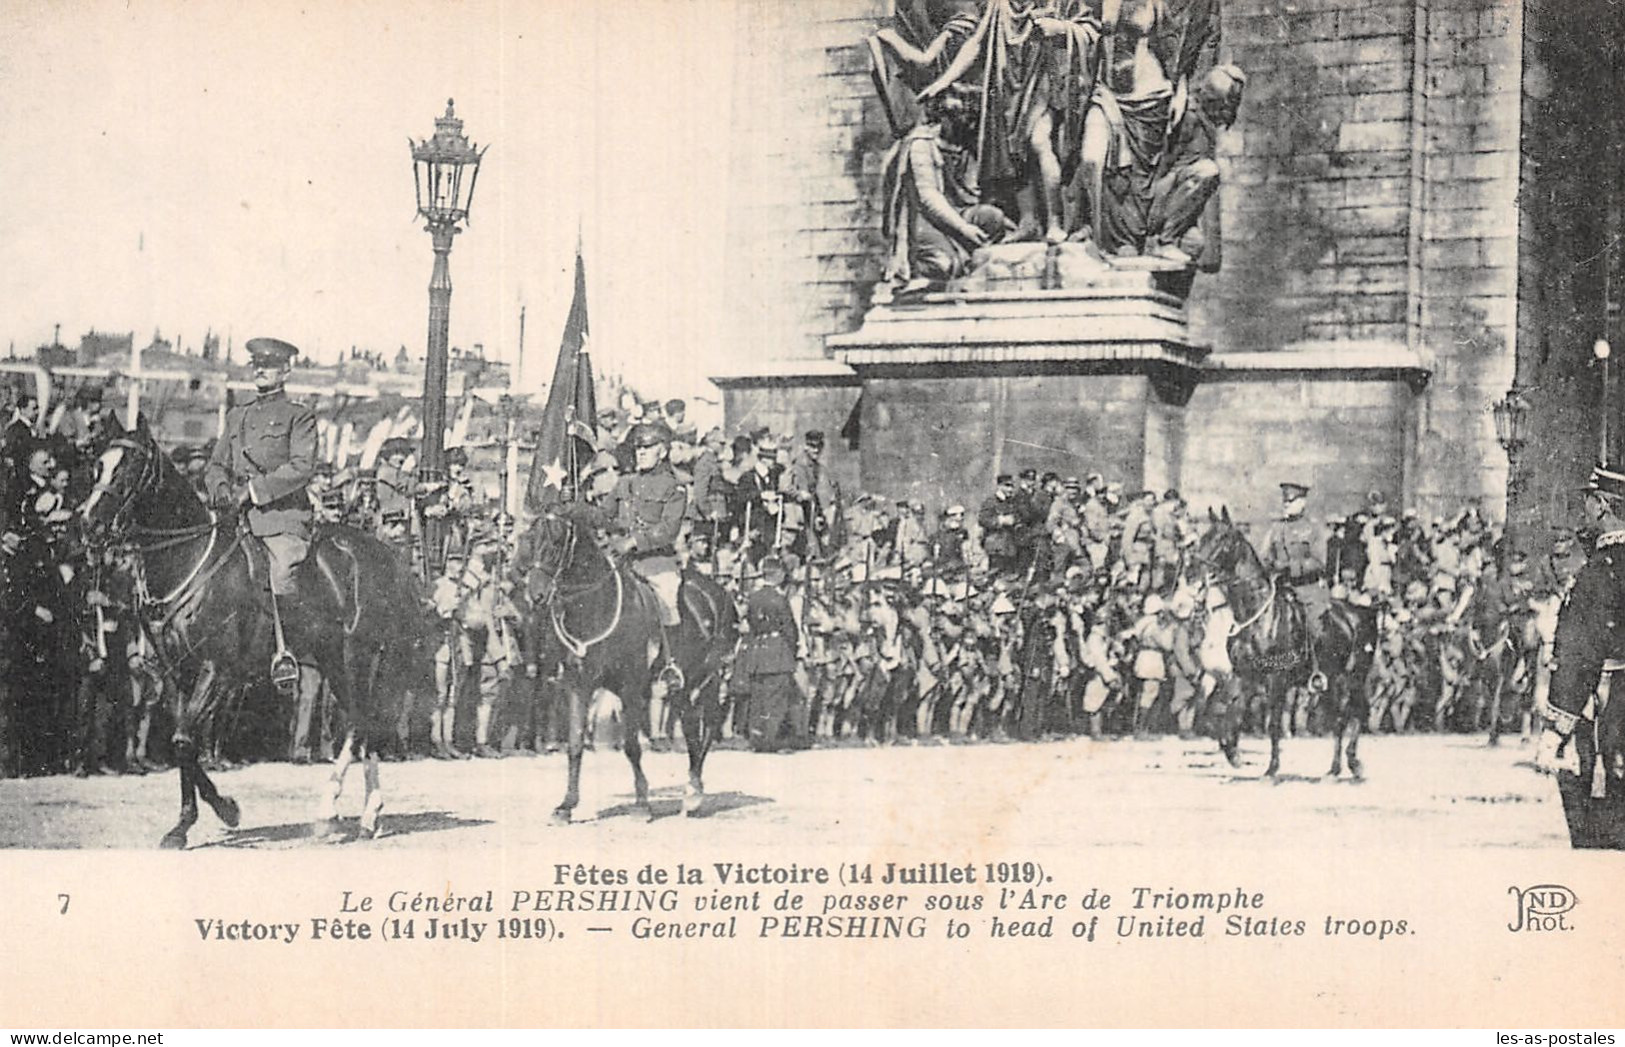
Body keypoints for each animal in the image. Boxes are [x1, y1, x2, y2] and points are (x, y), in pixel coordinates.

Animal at [77, 416, 432, 851]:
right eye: (97, 465)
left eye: (128, 468)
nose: (88, 525)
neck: (190, 560)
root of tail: (385, 555)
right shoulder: (178, 674)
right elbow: (183, 743)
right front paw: (187, 823)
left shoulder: (217, 671)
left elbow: (183, 741)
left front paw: (223, 810)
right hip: (335, 661)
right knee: (362, 725)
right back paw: (370, 815)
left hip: (357, 658)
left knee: (360, 724)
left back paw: (330, 810)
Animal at [523, 503, 741, 822]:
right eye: (529, 538)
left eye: (556, 540)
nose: (535, 594)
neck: (595, 607)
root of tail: (718, 591)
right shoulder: (578, 685)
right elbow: (575, 744)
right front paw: (566, 805)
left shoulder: (631, 688)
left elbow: (631, 746)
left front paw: (641, 804)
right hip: (682, 686)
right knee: (690, 727)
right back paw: (691, 790)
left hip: (709, 677)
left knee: (709, 725)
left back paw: (693, 793)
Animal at [1196, 507, 1319, 777]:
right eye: (1203, 538)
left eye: (1223, 539)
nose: (1196, 575)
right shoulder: (1243, 676)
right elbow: (1226, 713)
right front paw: (1232, 752)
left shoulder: (1274, 679)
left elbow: (1269, 722)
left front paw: (1271, 767)